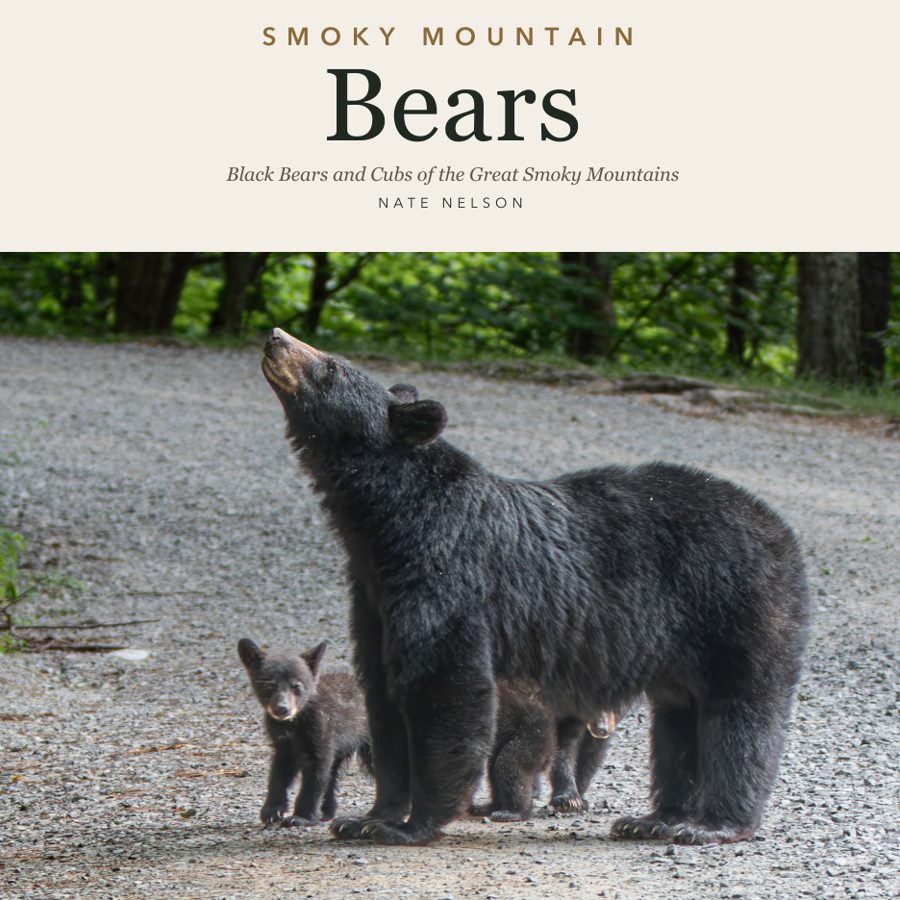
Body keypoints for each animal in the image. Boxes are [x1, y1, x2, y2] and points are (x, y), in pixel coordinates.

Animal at [238, 638, 372, 826]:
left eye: (296, 686)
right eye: (269, 685)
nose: (282, 709)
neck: (294, 723)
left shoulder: (321, 732)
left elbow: (315, 775)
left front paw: (301, 817)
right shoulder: (283, 742)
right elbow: (279, 773)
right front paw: (271, 811)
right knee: (333, 774)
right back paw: (327, 811)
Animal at [260, 328, 809, 846]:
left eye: (331, 366)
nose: (276, 337)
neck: (388, 522)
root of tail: (781, 530)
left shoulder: (448, 577)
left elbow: (447, 687)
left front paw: (415, 823)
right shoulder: (375, 596)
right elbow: (384, 697)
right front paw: (369, 817)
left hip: (736, 607)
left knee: (740, 716)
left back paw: (714, 824)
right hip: (683, 648)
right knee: (678, 722)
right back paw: (655, 818)